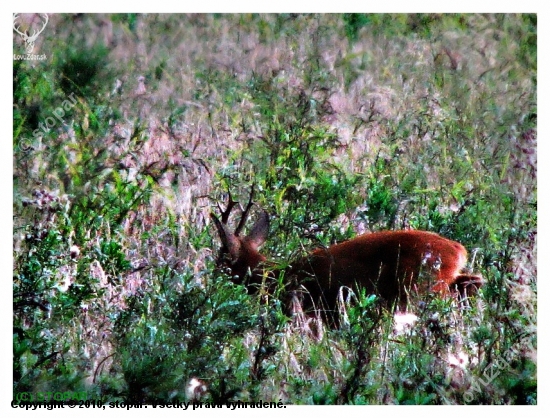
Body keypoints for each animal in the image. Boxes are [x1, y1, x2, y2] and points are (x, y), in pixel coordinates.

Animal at [211, 192, 484, 324]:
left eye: (221, 259)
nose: (211, 281)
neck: (276, 275)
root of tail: (458, 250)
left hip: (420, 288)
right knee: (472, 283)